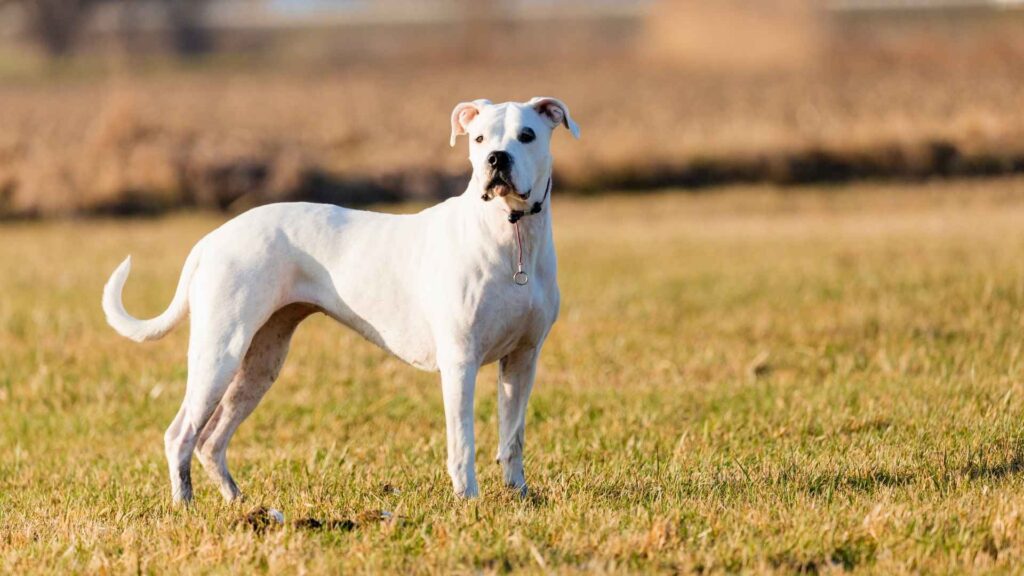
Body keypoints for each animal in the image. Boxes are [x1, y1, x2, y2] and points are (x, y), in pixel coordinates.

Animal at [99, 96, 581, 500]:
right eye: (478, 139)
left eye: (527, 135)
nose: (496, 159)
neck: (509, 232)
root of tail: (211, 239)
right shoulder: (460, 361)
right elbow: (462, 440)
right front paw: (469, 501)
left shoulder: (522, 359)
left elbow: (512, 436)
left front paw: (518, 496)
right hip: (220, 352)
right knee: (181, 434)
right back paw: (185, 504)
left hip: (261, 362)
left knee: (212, 439)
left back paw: (237, 502)